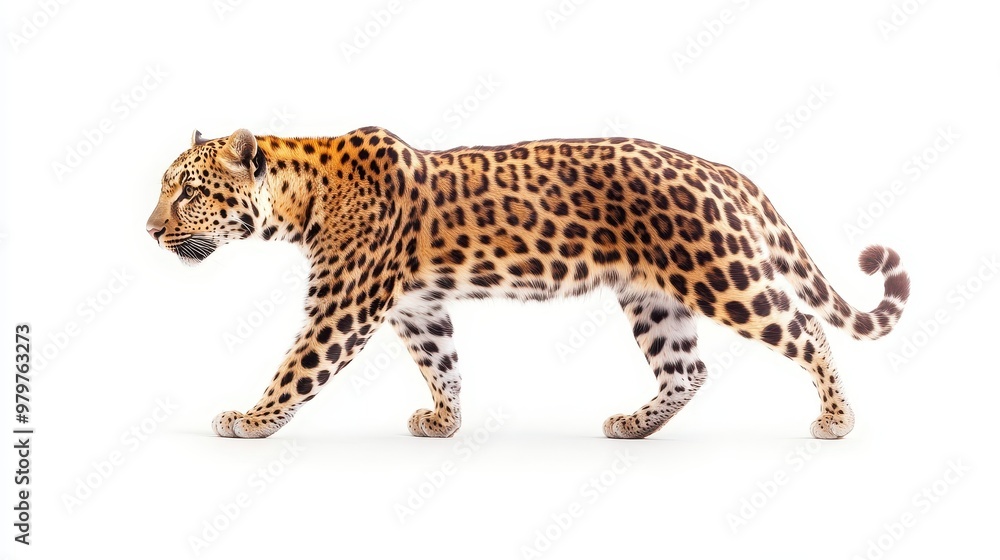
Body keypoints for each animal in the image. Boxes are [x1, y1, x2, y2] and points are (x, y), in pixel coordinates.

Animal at [146, 126, 910, 440]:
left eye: (187, 191)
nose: (149, 231)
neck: (300, 200)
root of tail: (720, 169)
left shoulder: (343, 308)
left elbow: (296, 369)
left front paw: (249, 420)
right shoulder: (418, 306)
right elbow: (443, 364)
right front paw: (445, 422)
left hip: (723, 275)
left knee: (806, 331)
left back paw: (837, 420)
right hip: (653, 297)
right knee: (687, 369)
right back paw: (634, 426)